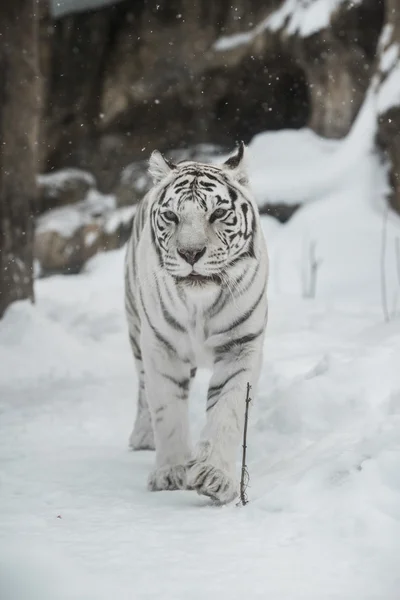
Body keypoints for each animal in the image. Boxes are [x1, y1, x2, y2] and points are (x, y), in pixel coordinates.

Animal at [125, 143, 268, 504]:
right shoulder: (160, 348)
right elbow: (166, 410)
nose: (191, 253)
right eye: (172, 216)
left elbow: (228, 410)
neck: (200, 305)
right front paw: (170, 473)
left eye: (217, 214)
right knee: (142, 390)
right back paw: (143, 436)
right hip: (135, 329)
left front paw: (215, 478)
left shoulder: (240, 346)